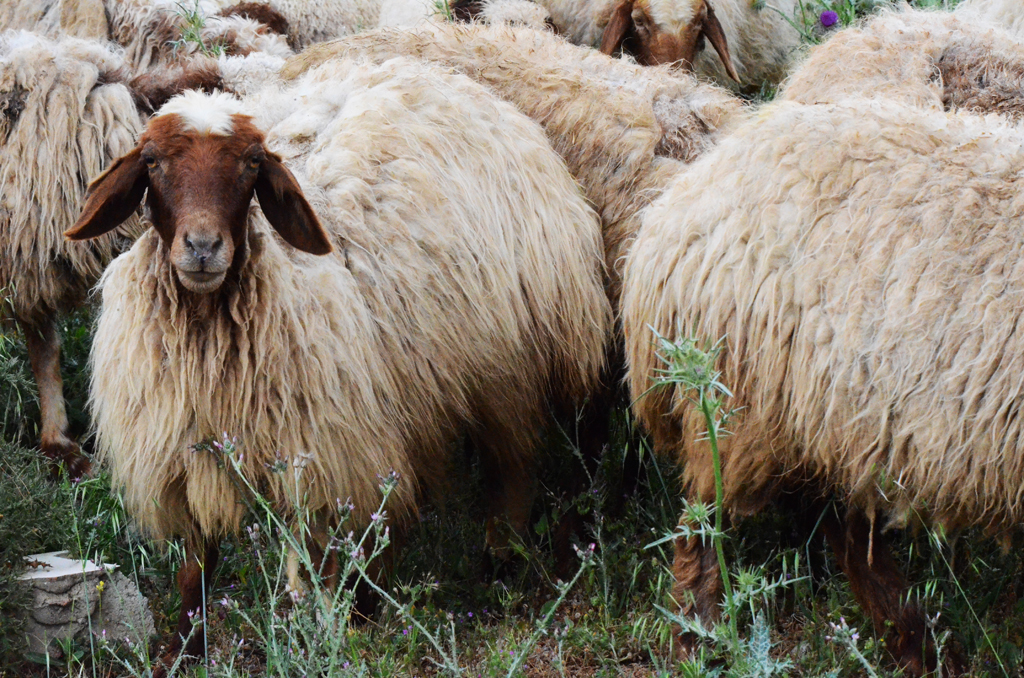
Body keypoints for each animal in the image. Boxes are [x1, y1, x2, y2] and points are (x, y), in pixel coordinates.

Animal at [65, 56, 612, 667]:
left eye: (251, 165)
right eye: (152, 162)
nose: (203, 248)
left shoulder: (330, 448)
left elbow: (339, 547)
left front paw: (341, 630)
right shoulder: (186, 452)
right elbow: (196, 569)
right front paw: (187, 648)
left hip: (506, 360)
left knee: (510, 464)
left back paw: (500, 562)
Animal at [622, 97, 1024, 674]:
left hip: (827, 418)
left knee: (837, 523)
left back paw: (915, 642)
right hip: (739, 407)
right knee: (702, 523)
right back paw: (697, 643)